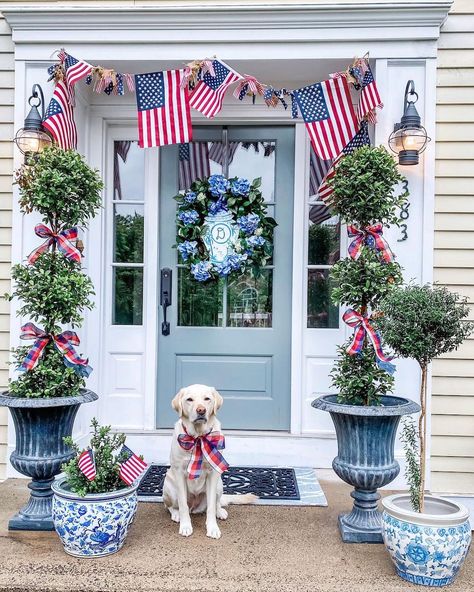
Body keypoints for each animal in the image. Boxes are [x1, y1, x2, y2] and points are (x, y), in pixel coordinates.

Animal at [165, 386, 258, 540]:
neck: (198, 437)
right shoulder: (179, 473)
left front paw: (213, 528)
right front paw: (185, 526)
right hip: (169, 488)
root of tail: (195, 508)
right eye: (189, 399)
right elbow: (183, 504)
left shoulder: (213, 474)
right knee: (171, 506)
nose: (201, 410)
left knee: (216, 503)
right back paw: (177, 515)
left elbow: (211, 507)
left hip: (219, 485)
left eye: (207, 399)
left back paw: (220, 512)